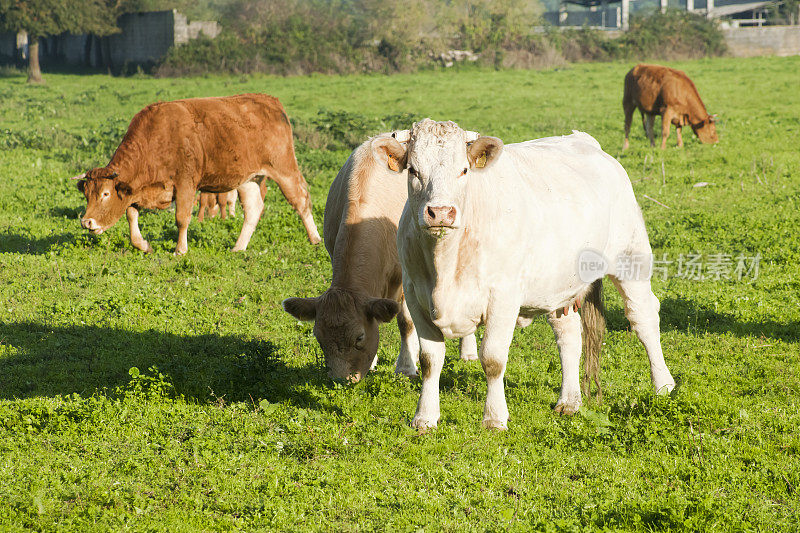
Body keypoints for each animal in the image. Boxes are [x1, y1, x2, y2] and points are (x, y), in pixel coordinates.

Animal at [73, 93, 320, 254]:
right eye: (86, 194)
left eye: (105, 194)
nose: (86, 222)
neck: (158, 138)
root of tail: (269, 101)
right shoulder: (136, 191)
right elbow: (131, 216)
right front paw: (143, 245)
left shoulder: (185, 184)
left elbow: (182, 218)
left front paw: (180, 250)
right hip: (249, 179)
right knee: (253, 209)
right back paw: (238, 247)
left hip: (284, 169)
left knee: (301, 201)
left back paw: (315, 239)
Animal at [284, 130, 478, 380]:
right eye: (319, 338)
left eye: (359, 337)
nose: (340, 380)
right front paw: (376, 362)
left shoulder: (406, 276)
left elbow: (406, 322)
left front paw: (406, 366)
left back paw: (468, 351)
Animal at [394, 117, 676, 428]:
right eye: (413, 170)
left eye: (463, 170)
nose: (441, 212)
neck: (445, 263)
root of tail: (584, 140)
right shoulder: (415, 295)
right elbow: (430, 360)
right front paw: (424, 418)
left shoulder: (503, 296)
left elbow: (492, 359)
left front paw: (494, 418)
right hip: (560, 284)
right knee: (569, 335)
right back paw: (569, 401)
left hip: (631, 257)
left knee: (644, 317)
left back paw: (663, 386)